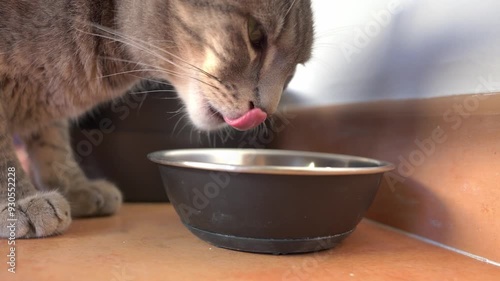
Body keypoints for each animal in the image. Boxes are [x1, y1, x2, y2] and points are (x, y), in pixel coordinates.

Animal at [0, 0, 312, 237]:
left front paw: (76, 188)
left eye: (295, 68)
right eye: (255, 35)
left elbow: (53, 145)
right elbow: (6, 154)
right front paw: (18, 202)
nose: (265, 110)